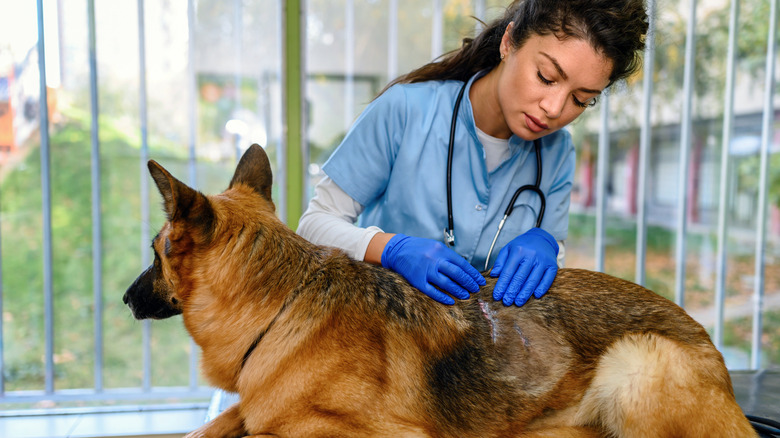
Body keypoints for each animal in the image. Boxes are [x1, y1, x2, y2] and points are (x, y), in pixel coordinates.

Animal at [125, 145, 760, 436]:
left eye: (155, 252)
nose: (127, 300)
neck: (280, 309)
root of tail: (712, 347)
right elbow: (220, 422)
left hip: (635, 361)